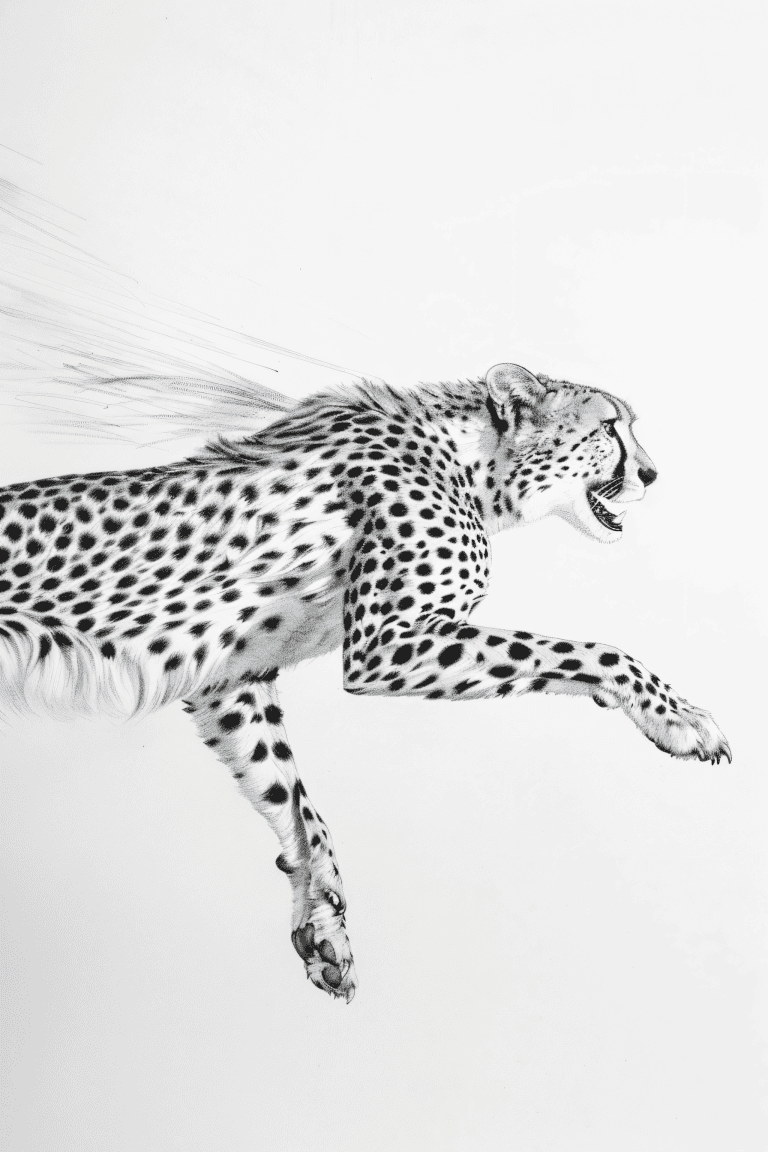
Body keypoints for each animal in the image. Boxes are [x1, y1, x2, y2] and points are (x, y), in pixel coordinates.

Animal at [0, 362, 731, 1004]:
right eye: (609, 427)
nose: (652, 474)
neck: (474, 466)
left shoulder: (231, 678)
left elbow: (289, 792)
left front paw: (324, 923)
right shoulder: (387, 645)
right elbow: (590, 649)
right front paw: (680, 718)